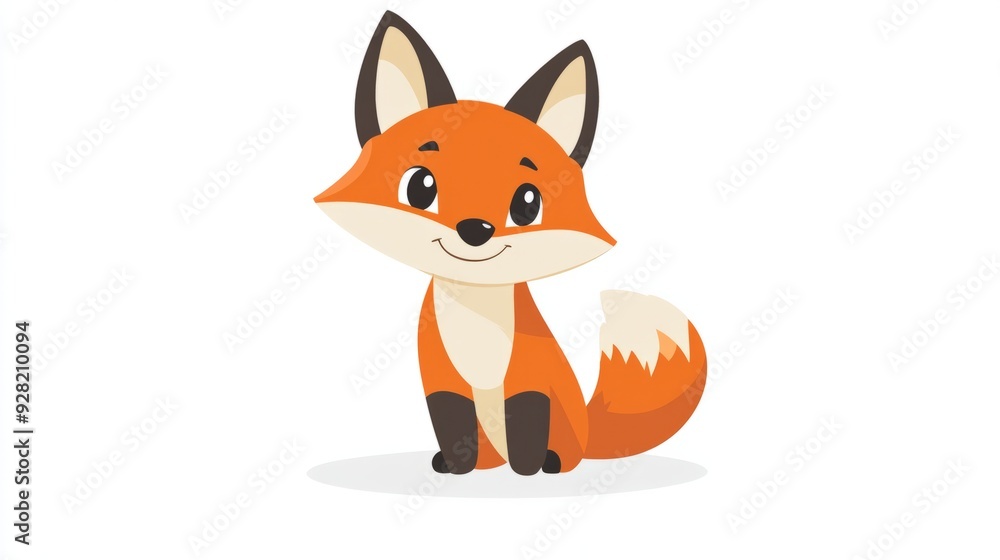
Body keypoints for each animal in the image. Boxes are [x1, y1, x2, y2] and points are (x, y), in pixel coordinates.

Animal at [315, 11, 707, 475]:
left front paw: (528, 471)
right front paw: (457, 468)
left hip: (566, 424)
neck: (478, 317)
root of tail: (589, 427)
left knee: (564, 453)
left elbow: (526, 428)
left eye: (527, 203)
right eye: (420, 187)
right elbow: (452, 425)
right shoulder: (442, 380)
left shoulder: (529, 377)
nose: (475, 229)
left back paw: (549, 463)